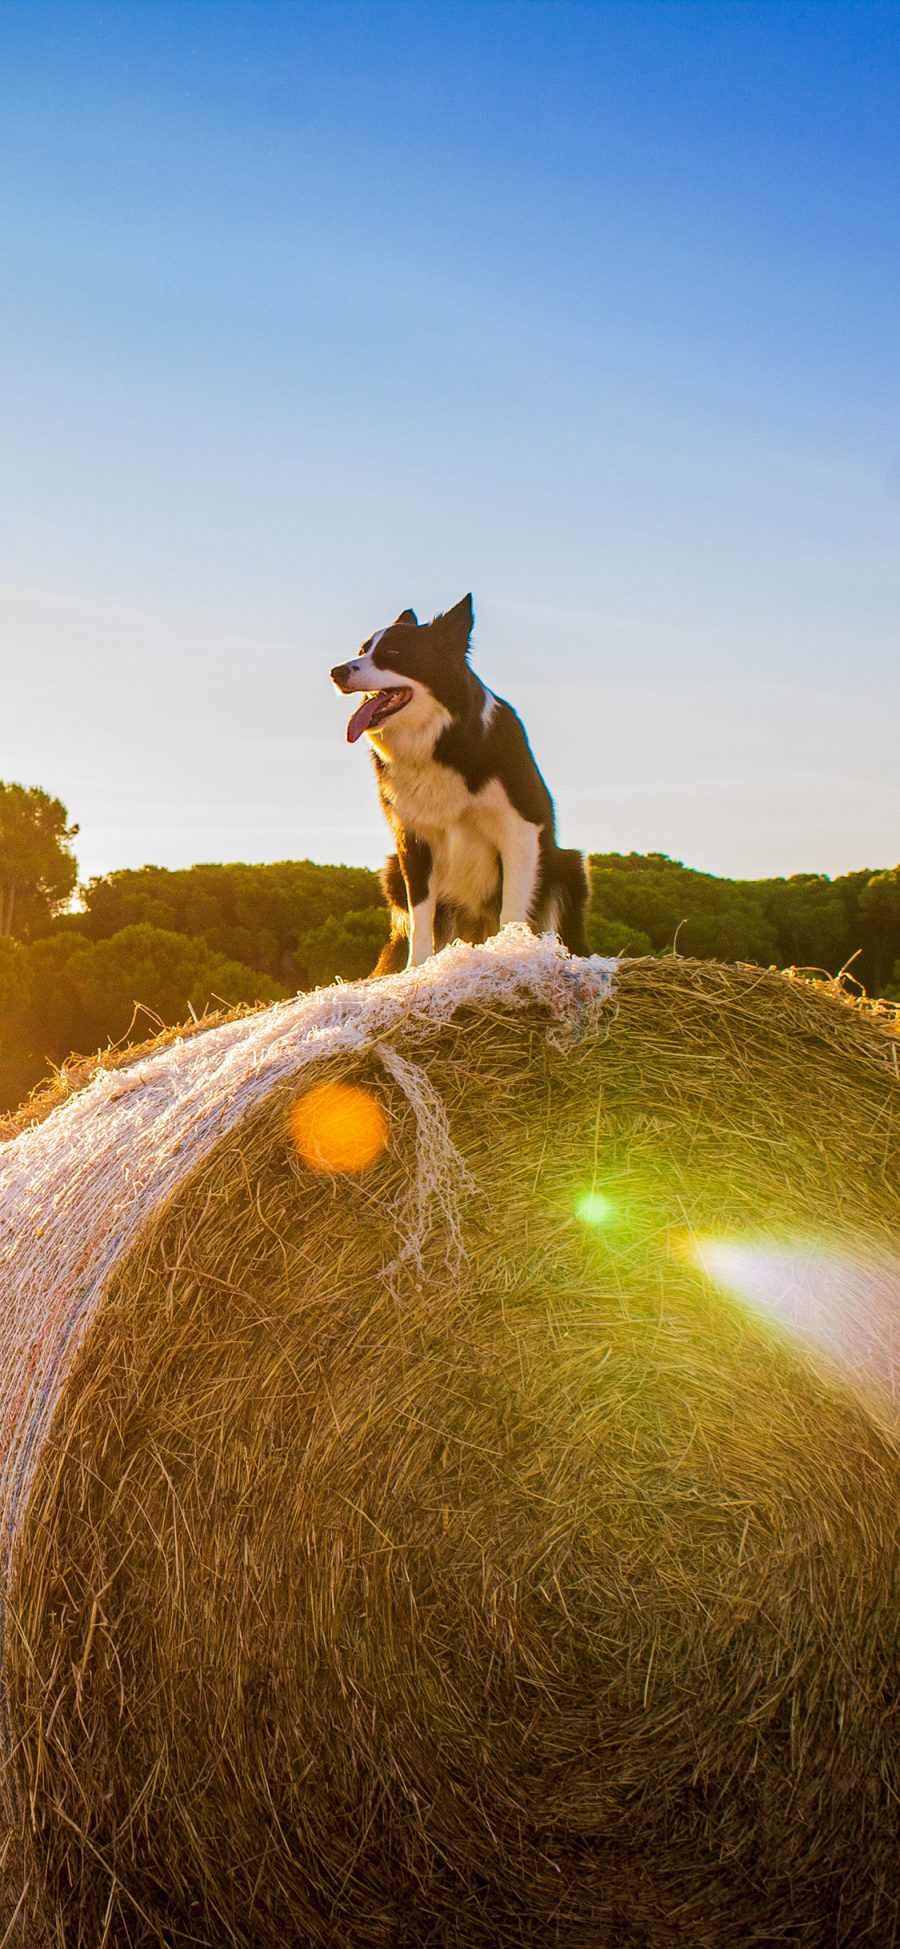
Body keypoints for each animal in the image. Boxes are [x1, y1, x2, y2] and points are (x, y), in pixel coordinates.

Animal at [331, 584, 592, 966]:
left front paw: (509, 953)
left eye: (393, 653)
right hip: (393, 870)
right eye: (363, 650)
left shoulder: (520, 829)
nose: (335, 672)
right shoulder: (412, 840)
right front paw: (417, 970)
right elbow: (421, 921)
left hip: (568, 866)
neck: (442, 742)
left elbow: (512, 909)